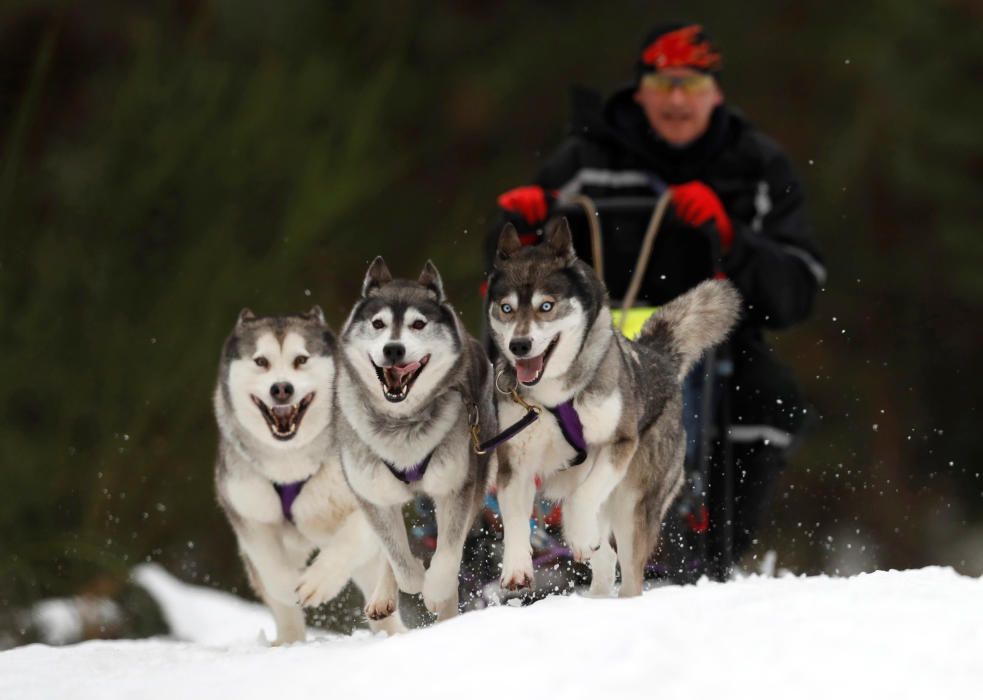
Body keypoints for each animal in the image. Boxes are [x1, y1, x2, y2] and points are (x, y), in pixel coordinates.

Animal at [214, 304, 404, 640]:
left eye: (301, 360)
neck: (291, 463)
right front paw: (289, 587)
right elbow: (271, 567)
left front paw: (318, 582)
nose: (281, 388)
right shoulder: (249, 514)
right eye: (261, 361)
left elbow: (350, 536)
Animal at [338, 260, 496, 620]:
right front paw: (413, 581)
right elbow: (399, 559)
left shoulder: (456, 486)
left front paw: (437, 591)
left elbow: (448, 551)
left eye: (418, 324)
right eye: (378, 323)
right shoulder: (372, 495)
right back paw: (384, 594)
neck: (402, 423)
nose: (393, 349)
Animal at [488, 223, 740, 596]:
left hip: (632, 503)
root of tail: (659, 359)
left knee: (628, 568)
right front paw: (517, 567)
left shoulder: (619, 444)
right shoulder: (516, 462)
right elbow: (516, 519)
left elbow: (581, 500)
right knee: (605, 557)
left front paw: (579, 536)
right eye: (506, 308)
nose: (519, 345)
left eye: (546, 306)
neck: (555, 397)